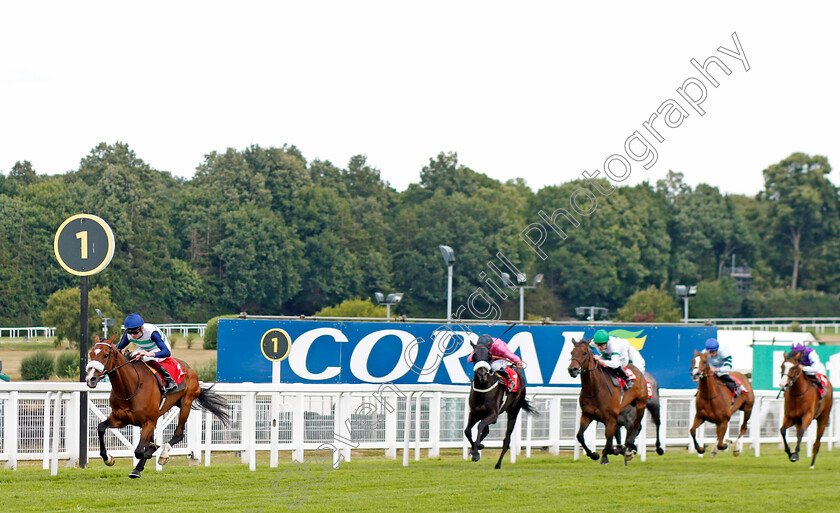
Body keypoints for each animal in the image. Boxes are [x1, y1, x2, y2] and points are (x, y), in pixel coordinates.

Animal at [85, 332, 230, 476]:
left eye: (105, 355)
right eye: (91, 353)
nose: (90, 379)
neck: (130, 387)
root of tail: (189, 369)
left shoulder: (148, 421)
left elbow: (140, 450)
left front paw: (150, 452)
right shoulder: (121, 419)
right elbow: (101, 428)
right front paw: (108, 458)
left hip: (186, 404)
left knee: (178, 434)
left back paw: (162, 455)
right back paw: (139, 467)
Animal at [462, 340, 536, 468]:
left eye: (489, 355)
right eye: (474, 355)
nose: (482, 375)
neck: (483, 388)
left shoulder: (493, 415)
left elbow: (480, 426)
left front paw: (476, 452)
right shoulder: (474, 413)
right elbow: (467, 431)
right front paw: (476, 448)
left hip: (513, 411)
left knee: (506, 440)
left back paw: (498, 464)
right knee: (485, 431)